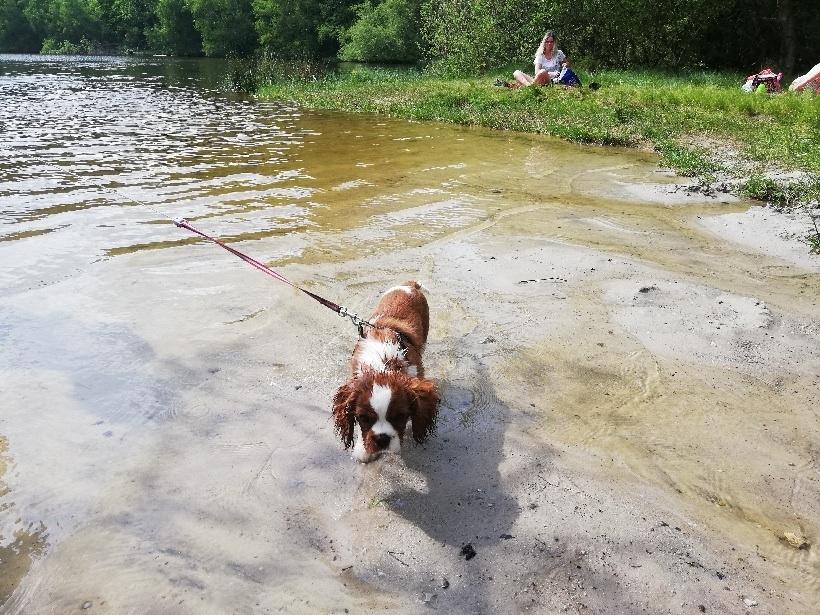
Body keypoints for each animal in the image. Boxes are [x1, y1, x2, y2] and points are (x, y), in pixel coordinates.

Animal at [332, 282, 442, 464]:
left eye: (399, 417)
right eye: (363, 418)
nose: (382, 439)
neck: (382, 362)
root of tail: (409, 285)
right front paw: (363, 448)